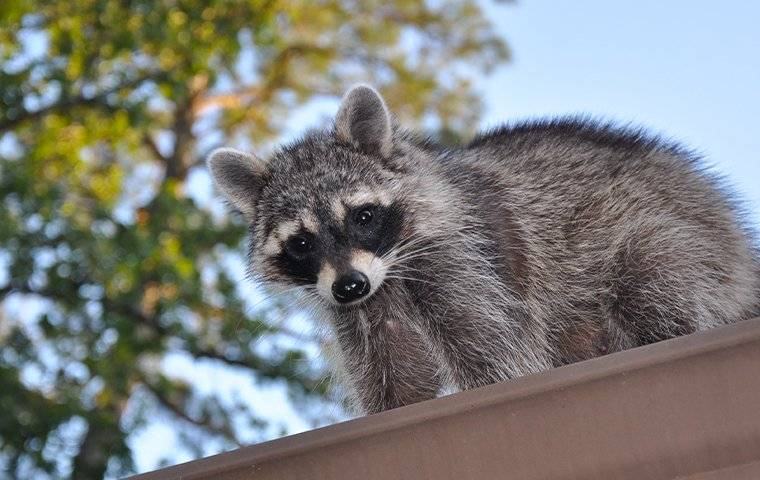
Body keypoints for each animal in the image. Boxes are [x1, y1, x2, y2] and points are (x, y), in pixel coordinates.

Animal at [208, 84, 760, 414]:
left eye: (362, 217)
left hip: (688, 241)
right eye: (301, 242)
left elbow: (497, 355)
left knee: (651, 276)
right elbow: (397, 383)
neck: (390, 271)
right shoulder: (365, 311)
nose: (349, 285)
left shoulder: (468, 260)